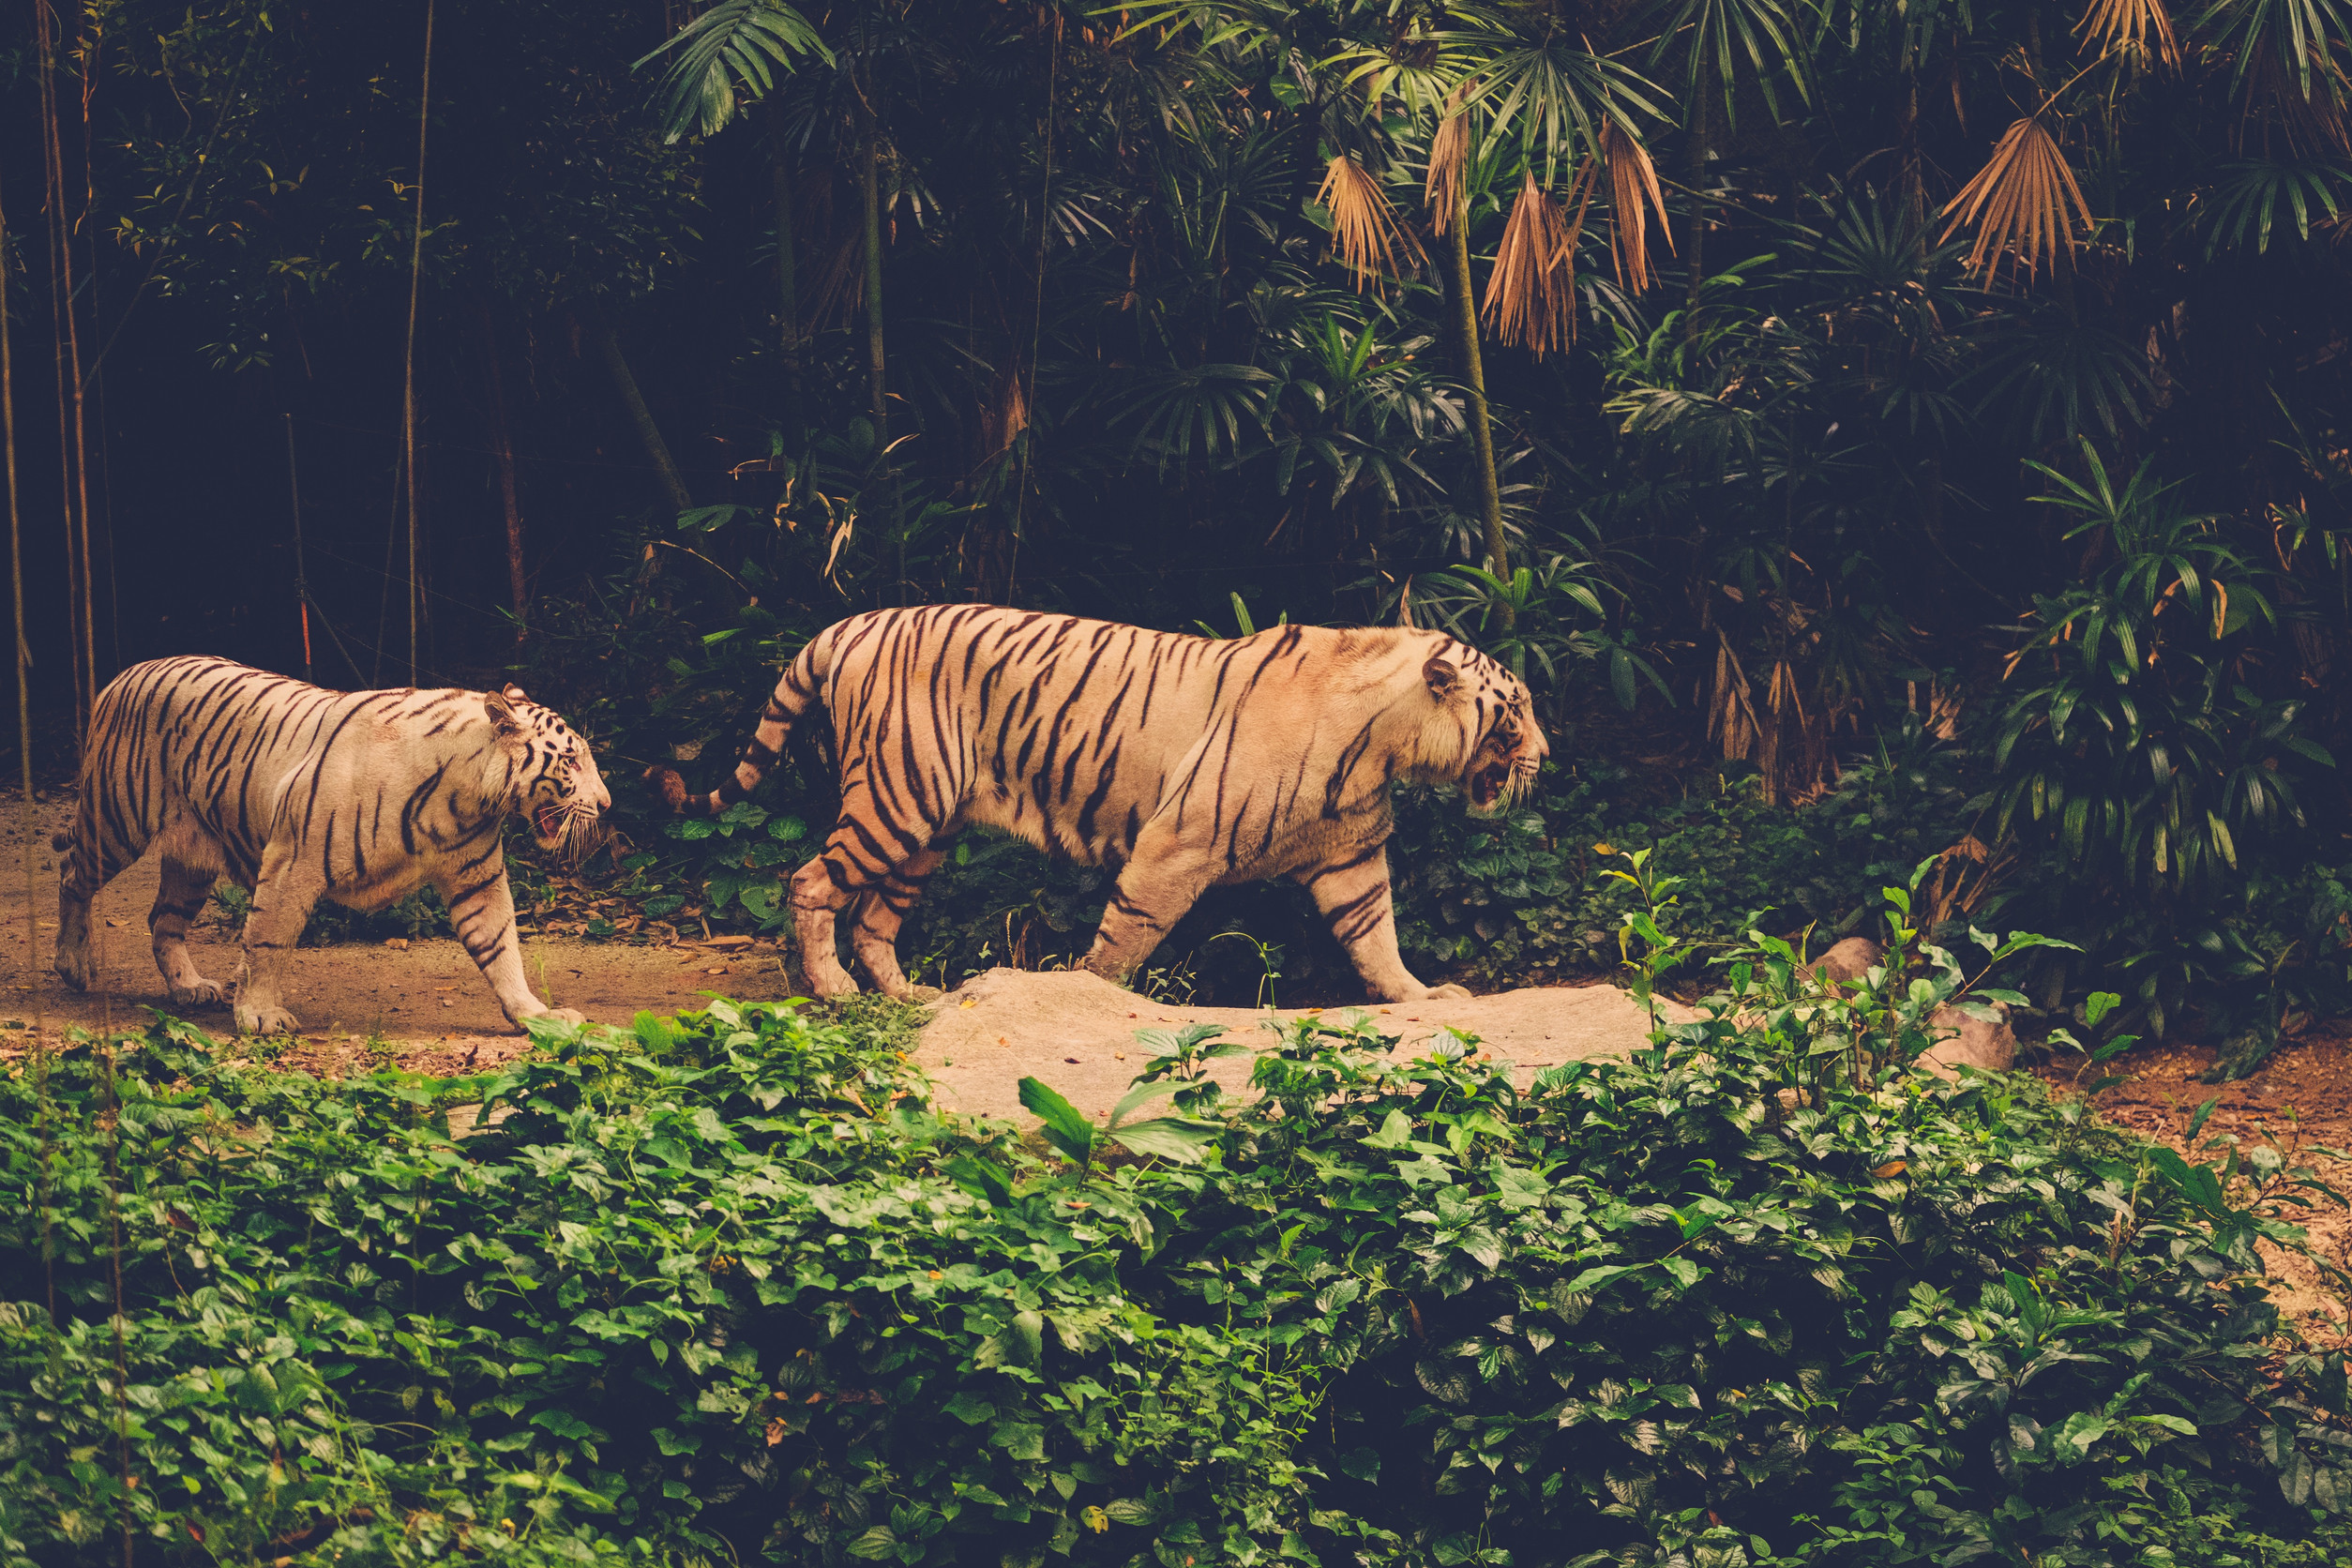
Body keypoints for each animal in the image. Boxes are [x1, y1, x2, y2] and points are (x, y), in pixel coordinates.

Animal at [55, 657, 611, 1033]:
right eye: (572, 761)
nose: (606, 804)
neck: (466, 798)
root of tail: (124, 673)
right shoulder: (291, 862)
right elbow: (269, 940)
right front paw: (260, 1015)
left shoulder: (477, 878)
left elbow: (500, 945)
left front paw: (535, 1015)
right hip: (114, 821)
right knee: (70, 876)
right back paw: (73, 964)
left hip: (191, 856)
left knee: (162, 919)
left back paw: (189, 988)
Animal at [654, 606, 1552, 1001]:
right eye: (1516, 712)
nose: (1546, 758)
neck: (1385, 744)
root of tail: (848, 624)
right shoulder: (1177, 844)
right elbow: (1126, 938)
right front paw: (1088, 997)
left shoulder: (1351, 857)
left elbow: (1376, 938)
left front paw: (1419, 997)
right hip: (895, 800)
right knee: (810, 883)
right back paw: (834, 991)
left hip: (926, 826)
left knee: (875, 917)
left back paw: (909, 998)